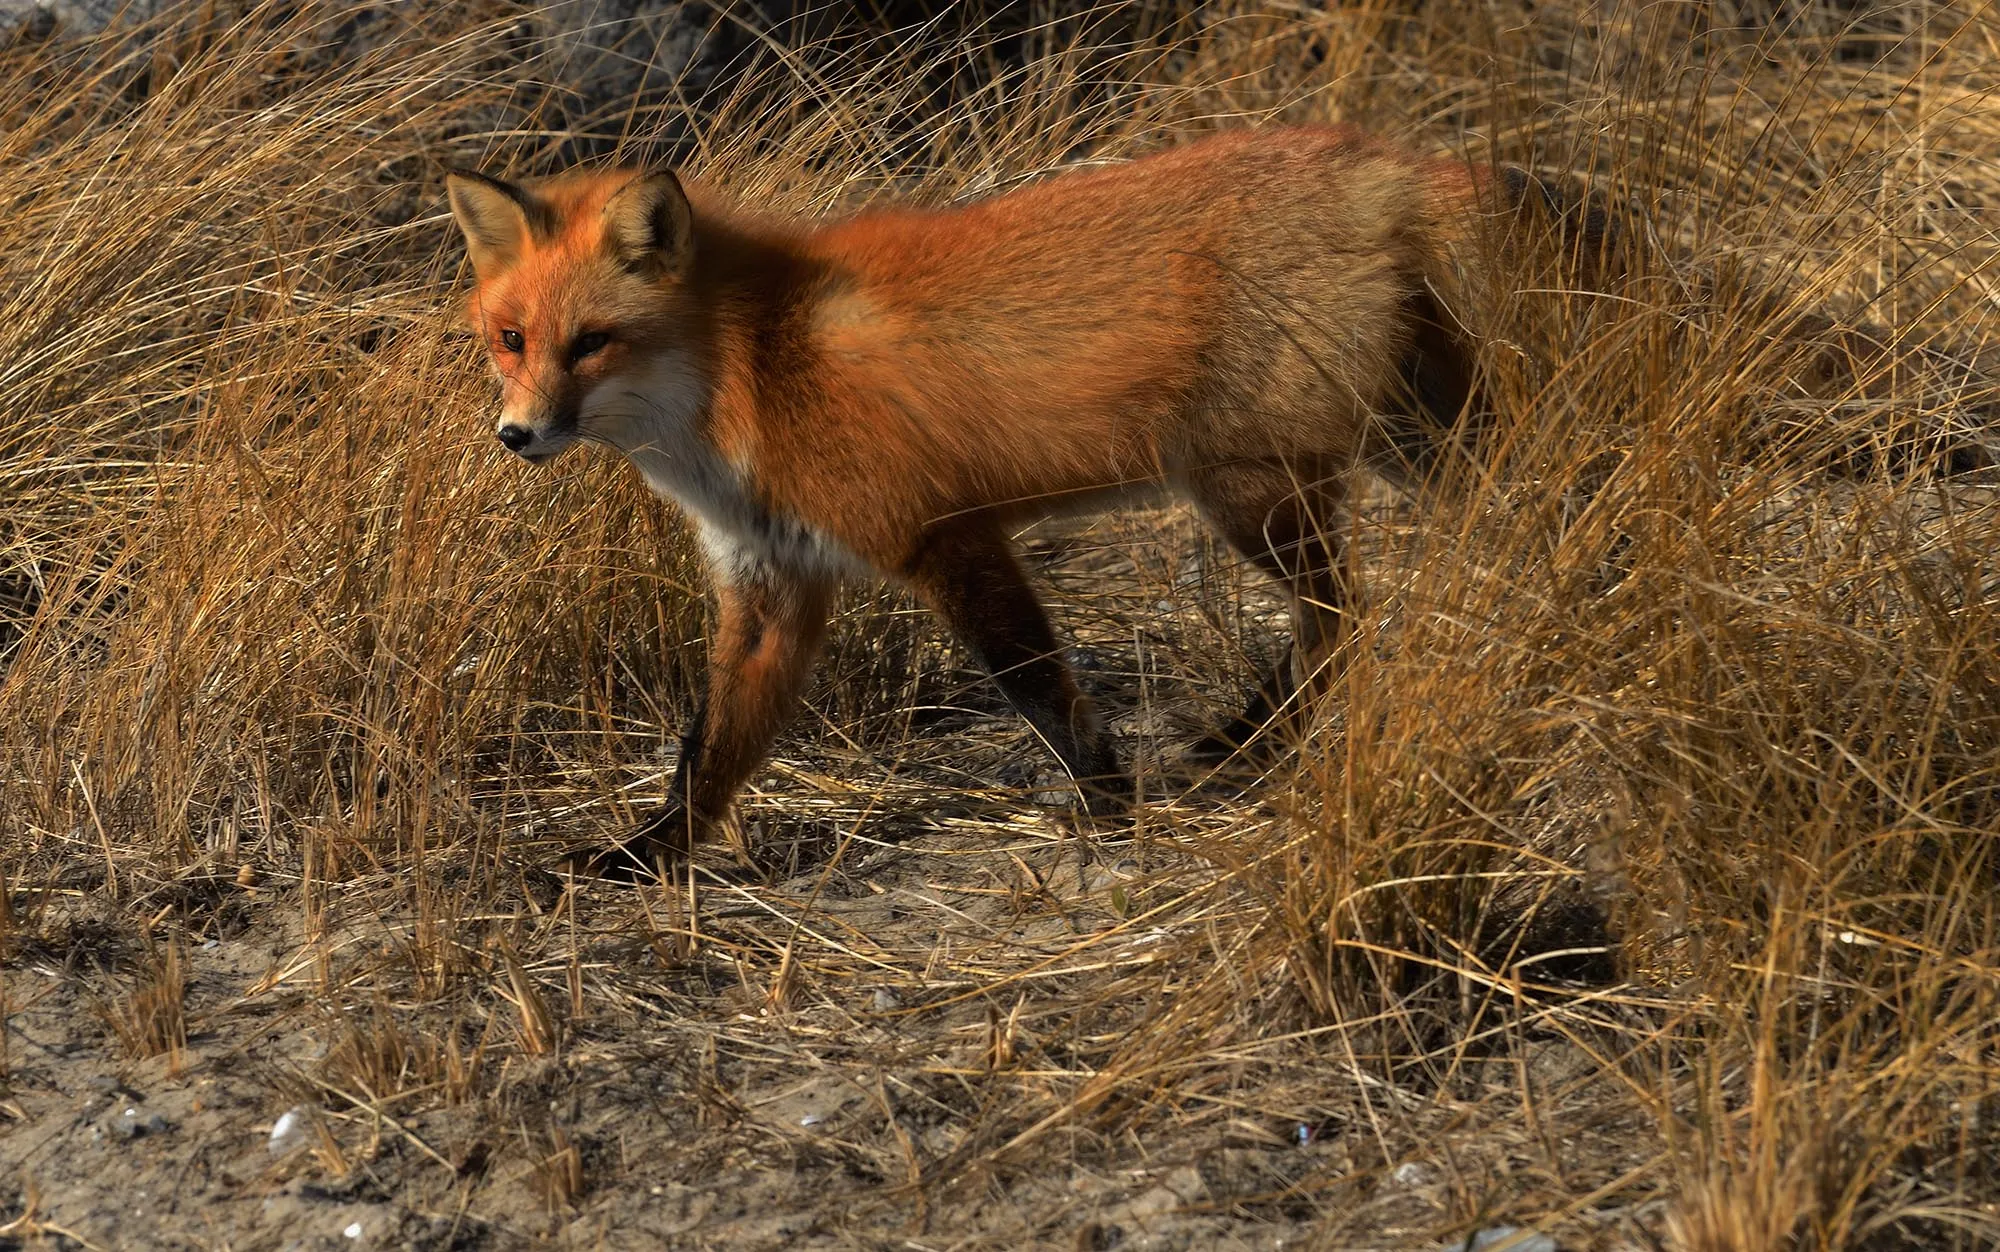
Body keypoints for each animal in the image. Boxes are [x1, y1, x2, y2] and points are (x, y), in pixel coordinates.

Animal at [442, 125, 1591, 875]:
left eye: (593, 342)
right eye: (511, 338)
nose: (516, 437)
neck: (752, 366)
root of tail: (1387, 163)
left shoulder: (943, 536)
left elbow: (1040, 686)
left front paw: (1110, 809)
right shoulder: (769, 581)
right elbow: (709, 752)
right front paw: (646, 856)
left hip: (1247, 486)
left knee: (1341, 616)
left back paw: (1247, 742)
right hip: (1403, 444)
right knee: (1499, 528)